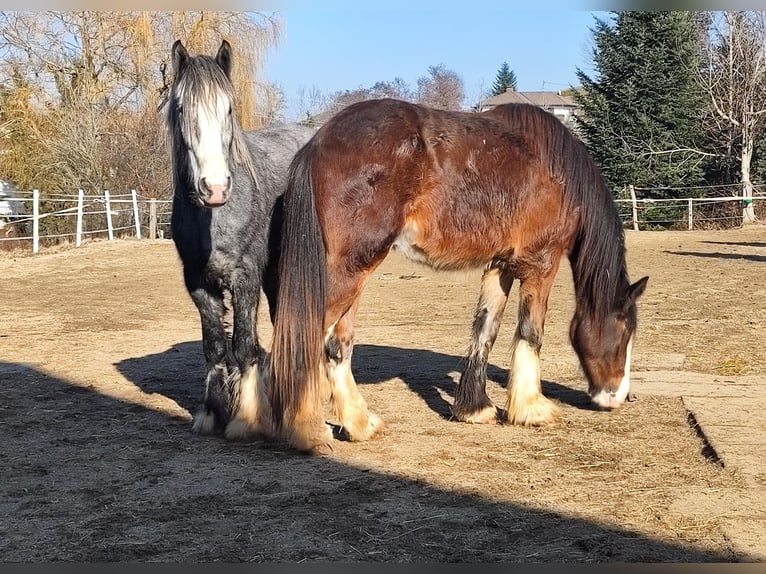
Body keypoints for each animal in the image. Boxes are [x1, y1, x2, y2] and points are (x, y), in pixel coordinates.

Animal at [165, 39, 315, 439]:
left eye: (229, 108)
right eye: (182, 108)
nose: (215, 188)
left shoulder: (245, 278)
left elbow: (245, 345)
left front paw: (246, 418)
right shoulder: (198, 283)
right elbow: (215, 347)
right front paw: (213, 411)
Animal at [267, 97, 649, 454]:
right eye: (625, 330)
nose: (617, 395)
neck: (558, 172)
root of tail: (317, 144)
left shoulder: (499, 265)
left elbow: (486, 329)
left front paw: (475, 409)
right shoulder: (542, 262)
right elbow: (531, 332)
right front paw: (532, 409)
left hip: (352, 271)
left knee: (336, 345)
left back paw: (359, 424)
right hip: (352, 268)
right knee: (306, 336)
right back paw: (307, 429)